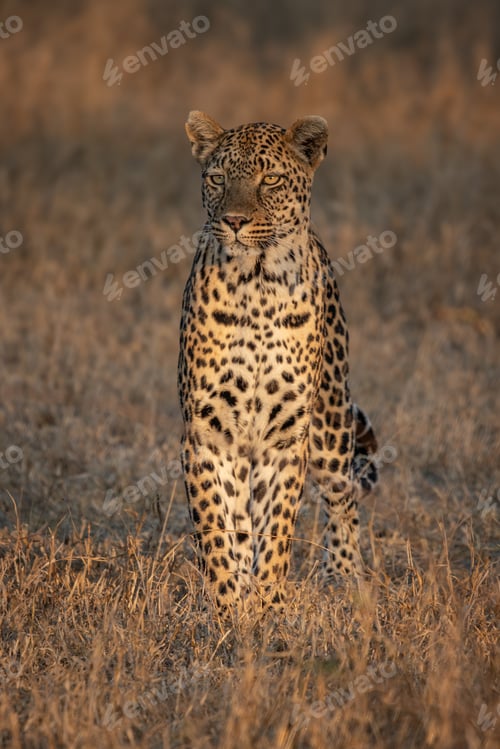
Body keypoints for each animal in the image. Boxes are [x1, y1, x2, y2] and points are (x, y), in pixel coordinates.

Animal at [178, 111, 378, 612]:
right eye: (217, 178)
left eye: (269, 180)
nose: (233, 221)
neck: (257, 284)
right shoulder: (208, 433)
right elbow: (217, 525)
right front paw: (229, 607)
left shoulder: (286, 438)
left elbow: (278, 530)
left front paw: (267, 605)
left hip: (331, 421)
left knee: (343, 496)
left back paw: (344, 575)